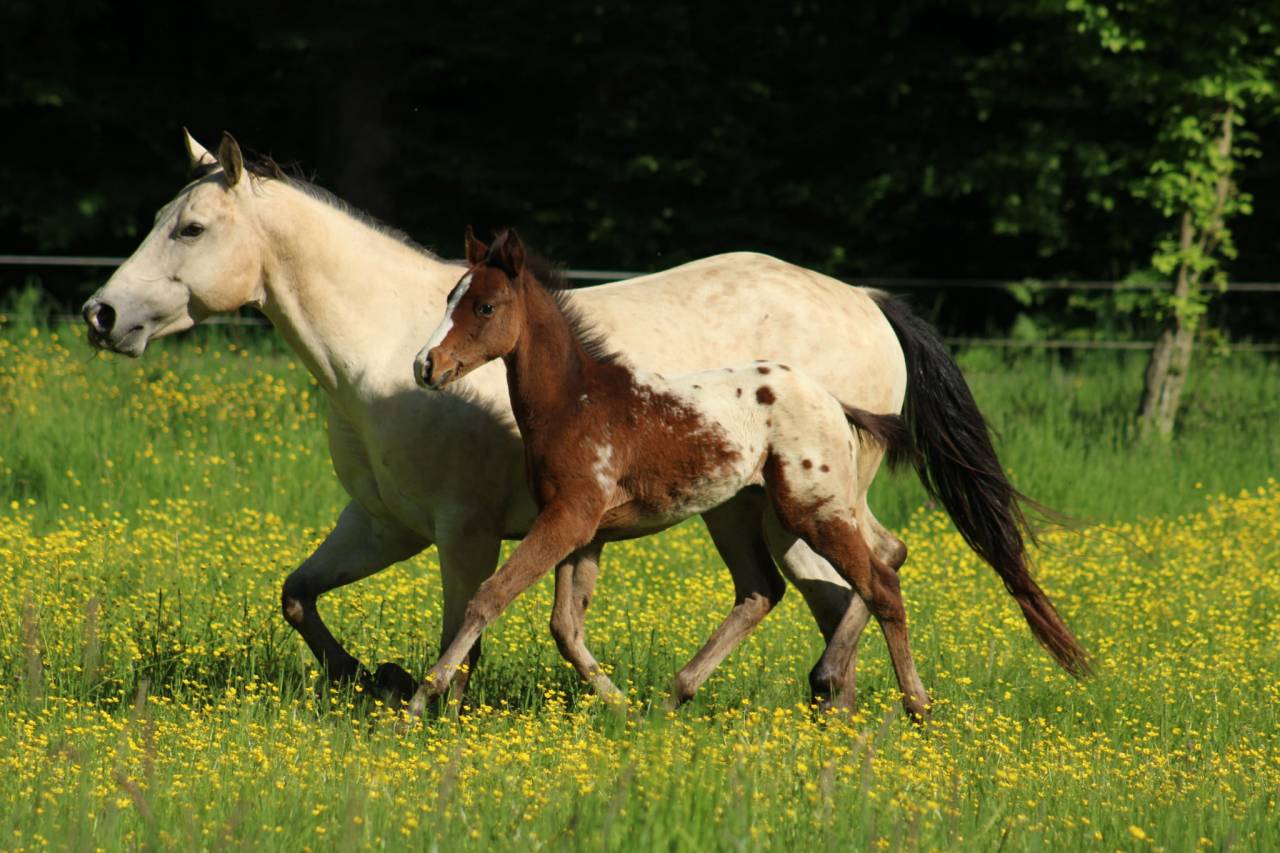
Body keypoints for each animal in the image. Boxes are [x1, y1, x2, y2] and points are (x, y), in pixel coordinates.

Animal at [411, 228, 949, 720]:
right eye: (449, 298)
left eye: (485, 307)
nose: (425, 365)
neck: (574, 401)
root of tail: (833, 402)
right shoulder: (581, 531)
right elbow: (565, 627)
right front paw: (622, 707)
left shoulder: (568, 519)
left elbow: (489, 596)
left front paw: (420, 701)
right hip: (745, 511)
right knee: (768, 590)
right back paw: (678, 696)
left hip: (813, 510)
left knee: (881, 584)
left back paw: (916, 706)